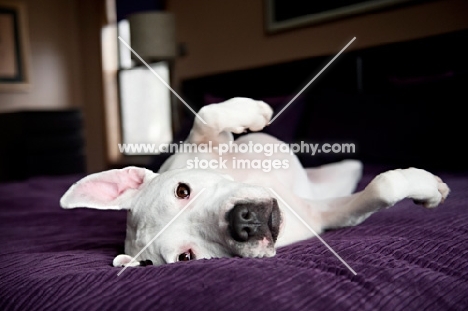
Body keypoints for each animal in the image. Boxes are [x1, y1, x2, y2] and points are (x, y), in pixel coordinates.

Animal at [59, 98, 450, 268]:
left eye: (182, 190)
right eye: (187, 257)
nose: (243, 222)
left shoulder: (198, 146)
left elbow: (207, 115)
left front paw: (255, 111)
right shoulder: (324, 217)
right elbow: (381, 189)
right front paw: (425, 189)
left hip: (343, 168)